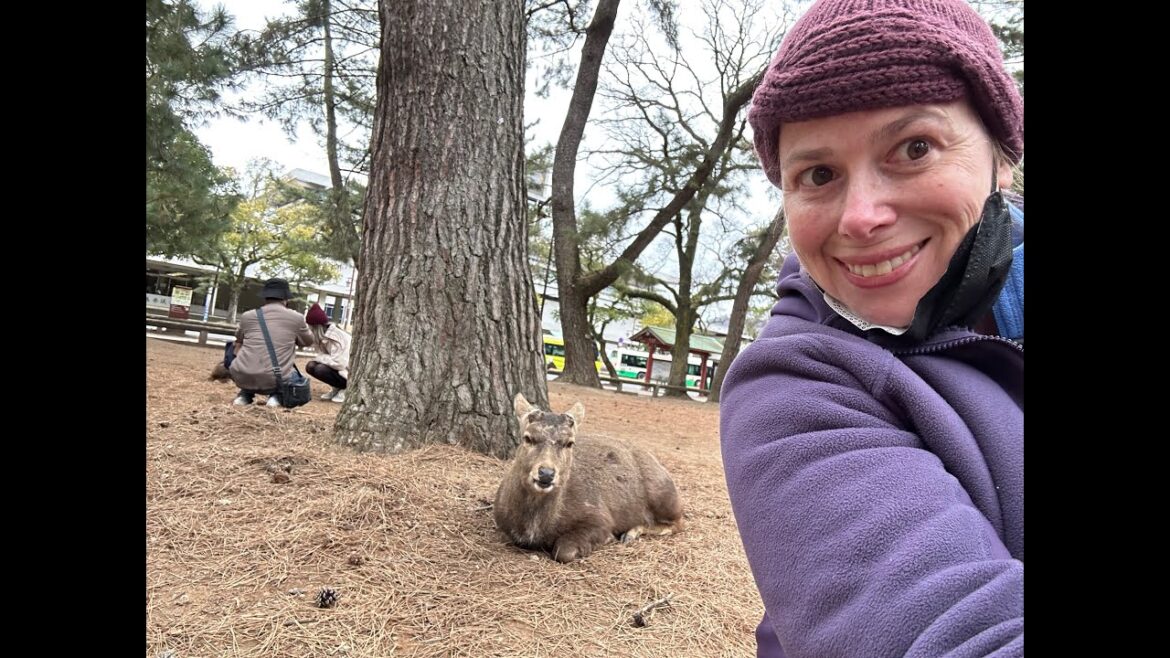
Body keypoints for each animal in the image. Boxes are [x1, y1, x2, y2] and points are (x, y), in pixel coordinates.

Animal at [493, 393, 684, 563]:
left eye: (569, 443)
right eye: (527, 438)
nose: (546, 473)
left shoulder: (599, 515)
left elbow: (564, 551)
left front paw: (608, 538)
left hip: (664, 495)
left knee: (678, 523)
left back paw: (630, 533)